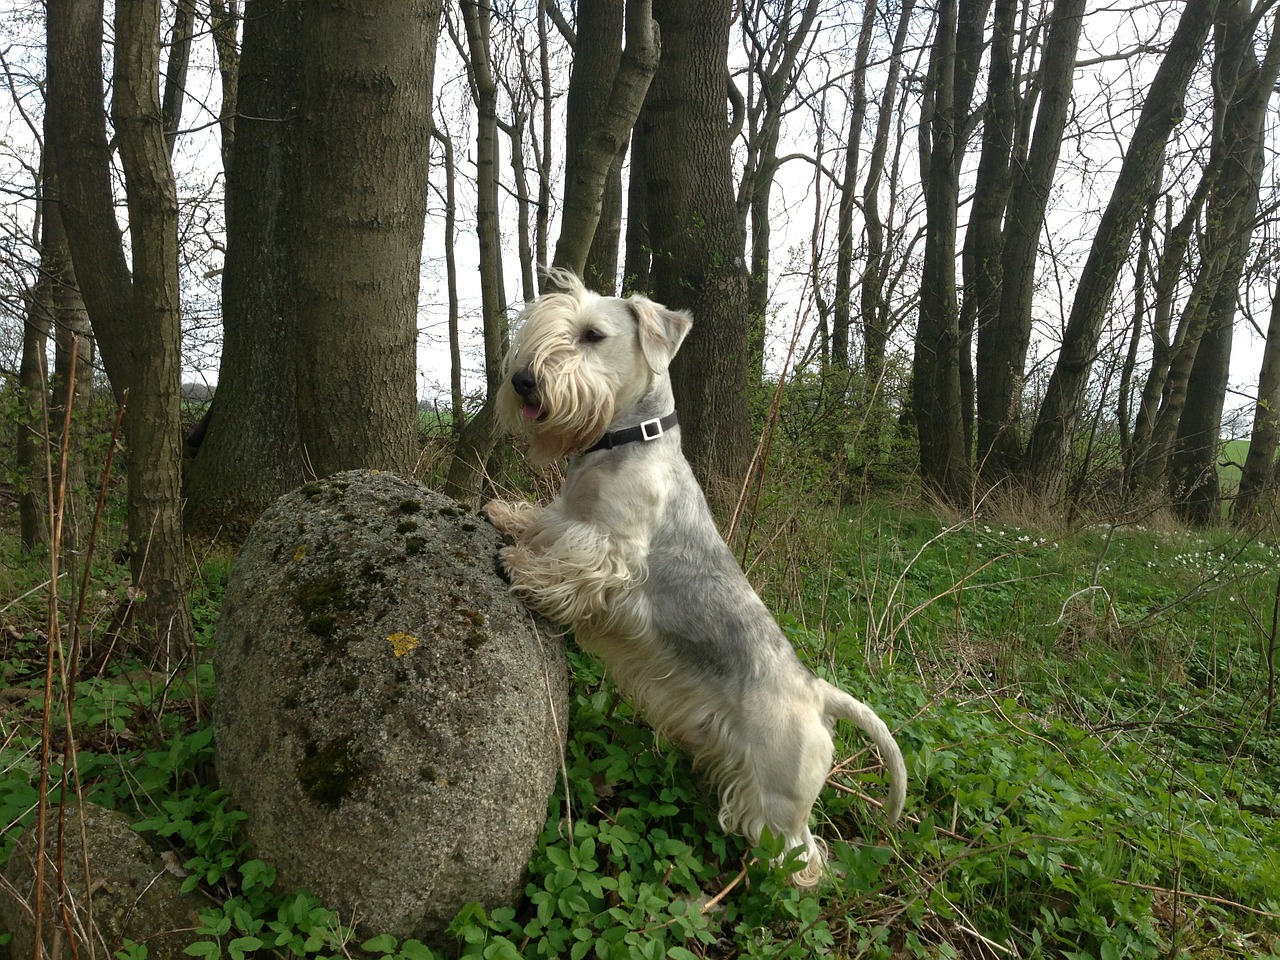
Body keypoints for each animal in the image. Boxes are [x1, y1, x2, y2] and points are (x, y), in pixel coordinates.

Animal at [481, 268, 911, 885]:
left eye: (592, 335)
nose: (522, 381)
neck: (624, 439)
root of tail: (817, 693)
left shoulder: (612, 551)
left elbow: (569, 565)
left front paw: (524, 568)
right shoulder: (570, 516)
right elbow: (542, 523)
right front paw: (508, 516)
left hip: (779, 798)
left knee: (803, 855)